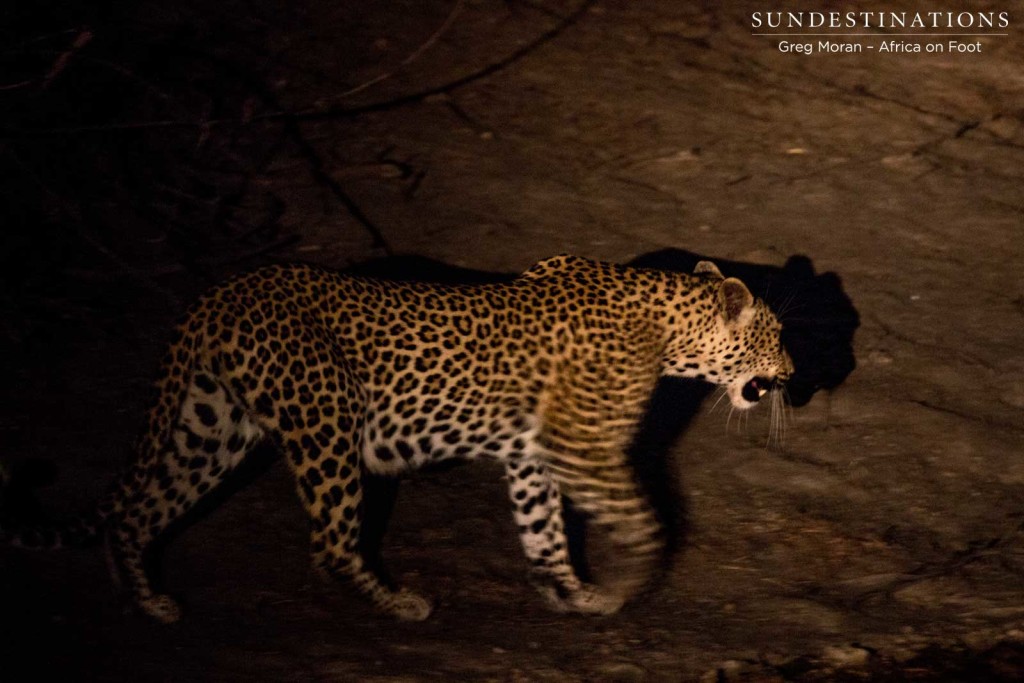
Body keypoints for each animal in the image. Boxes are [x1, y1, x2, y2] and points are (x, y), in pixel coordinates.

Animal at [2, 253, 790, 622]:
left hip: (212, 425)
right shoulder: (583, 449)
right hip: (326, 418)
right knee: (328, 541)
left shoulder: (534, 456)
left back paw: (146, 601)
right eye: (777, 333)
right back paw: (397, 603)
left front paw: (570, 591)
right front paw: (638, 577)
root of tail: (223, 292)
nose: (791, 372)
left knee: (140, 509)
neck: (669, 328)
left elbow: (543, 531)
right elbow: (641, 517)